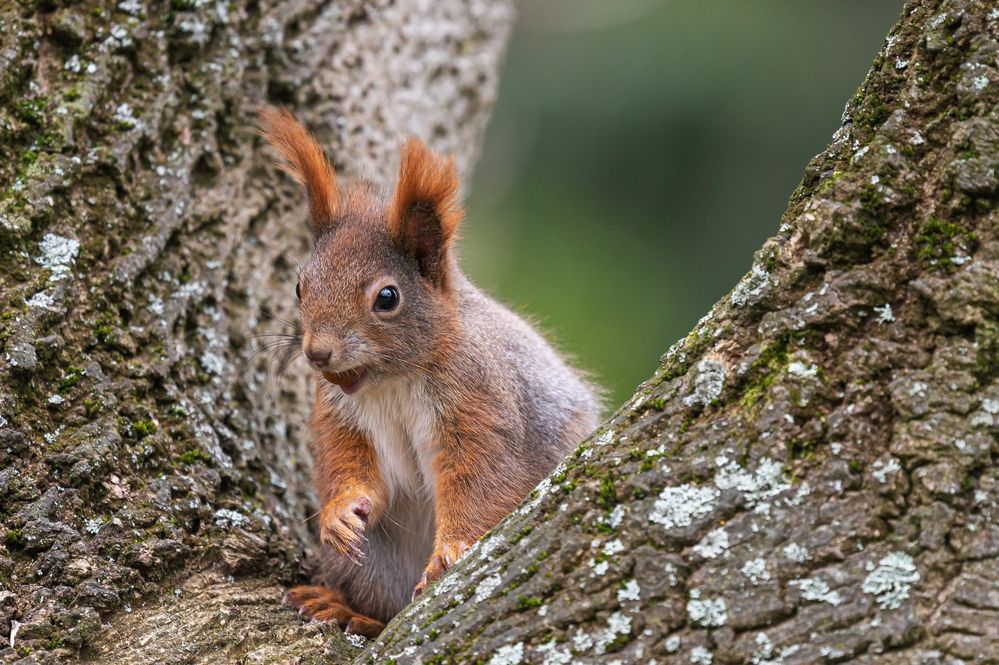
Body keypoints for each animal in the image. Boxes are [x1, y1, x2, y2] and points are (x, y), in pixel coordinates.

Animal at [258, 110, 600, 640]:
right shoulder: (340, 416)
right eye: (299, 286)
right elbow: (349, 464)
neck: (392, 380)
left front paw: (452, 549)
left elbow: (482, 479)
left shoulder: (481, 400)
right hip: (375, 563)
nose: (318, 353)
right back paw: (345, 609)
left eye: (387, 297)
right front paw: (339, 513)